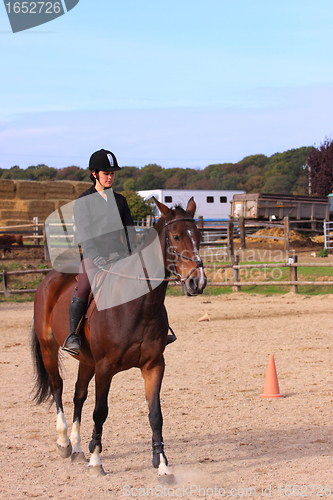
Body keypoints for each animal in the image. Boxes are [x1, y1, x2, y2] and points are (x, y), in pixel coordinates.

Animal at [32, 197, 206, 478]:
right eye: (176, 237)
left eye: (199, 236)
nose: (197, 282)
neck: (138, 305)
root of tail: (50, 278)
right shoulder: (105, 367)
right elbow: (100, 412)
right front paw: (96, 461)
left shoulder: (153, 365)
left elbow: (155, 414)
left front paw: (163, 465)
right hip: (49, 348)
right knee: (58, 388)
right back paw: (64, 443)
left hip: (86, 360)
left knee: (78, 395)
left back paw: (77, 447)